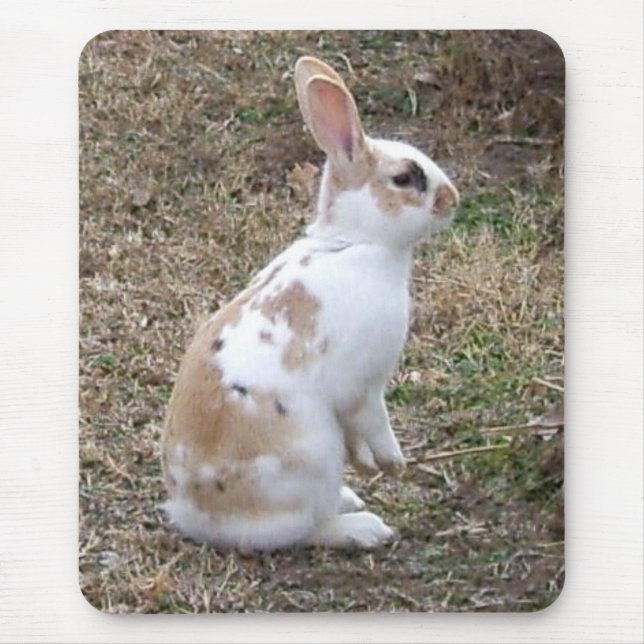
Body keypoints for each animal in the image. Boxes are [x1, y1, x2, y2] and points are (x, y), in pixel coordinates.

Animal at [161, 56, 459, 552]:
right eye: (404, 178)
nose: (452, 200)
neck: (356, 241)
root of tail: (197, 517)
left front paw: (371, 465)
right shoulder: (365, 385)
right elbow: (375, 420)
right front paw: (392, 462)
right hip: (310, 459)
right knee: (303, 531)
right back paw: (363, 528)